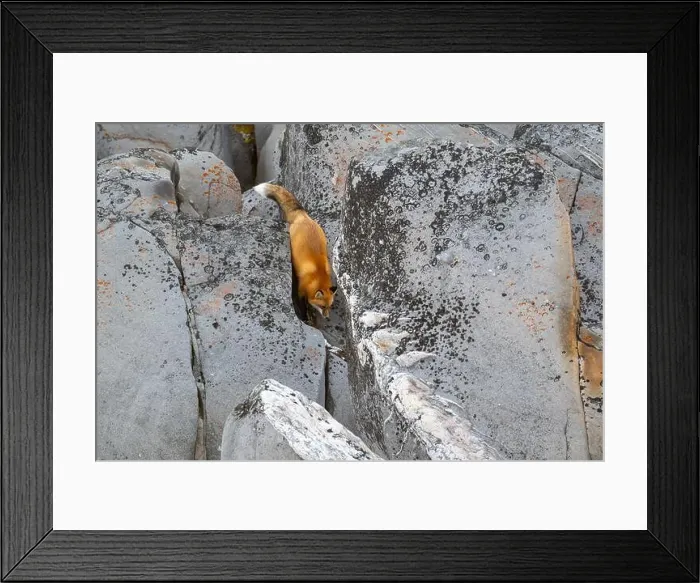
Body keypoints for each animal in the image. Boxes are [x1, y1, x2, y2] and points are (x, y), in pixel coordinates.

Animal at [253, 183, 337, 321]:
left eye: (330, 306)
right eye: (323, 306)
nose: (327, 318)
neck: (317, 275)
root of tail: (302, 215)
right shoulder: (300, 290)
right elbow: (302, 306)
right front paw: (305, 317)